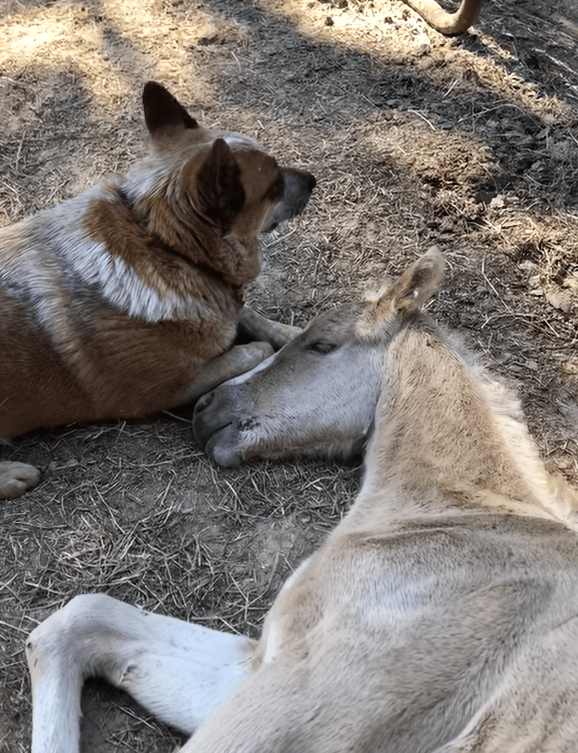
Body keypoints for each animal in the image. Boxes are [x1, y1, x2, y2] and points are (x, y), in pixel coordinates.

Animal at [0, 81, 315, 499]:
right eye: (274, 184)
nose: (313, 179)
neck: (163, 244)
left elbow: (250, 316)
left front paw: (293, 332)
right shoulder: (168, 390)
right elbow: (253, 348)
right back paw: (11, 475)